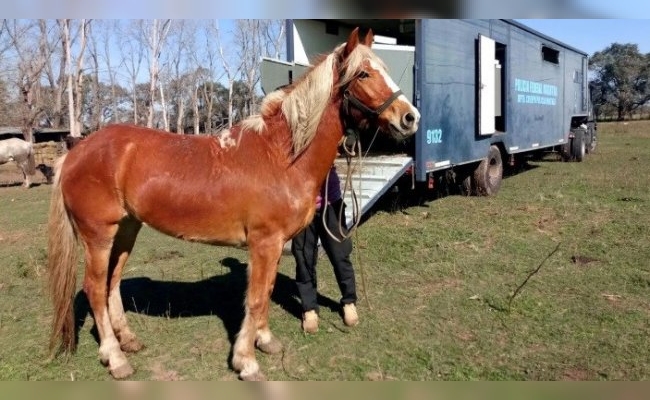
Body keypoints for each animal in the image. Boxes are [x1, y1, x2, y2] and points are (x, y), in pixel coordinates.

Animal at [48, 27, 418, 378]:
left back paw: (128, 340)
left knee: (112, 283)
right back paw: (116, 358)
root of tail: (76, 152)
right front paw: (246, 362)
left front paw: (265, 341)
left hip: (126, 230)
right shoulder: (264, 243)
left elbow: (266, 291)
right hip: (98, 235)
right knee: (95, 288)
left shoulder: (275, 245)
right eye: (363, 74)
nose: (410, 117)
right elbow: (254, 299)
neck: (280, 155)